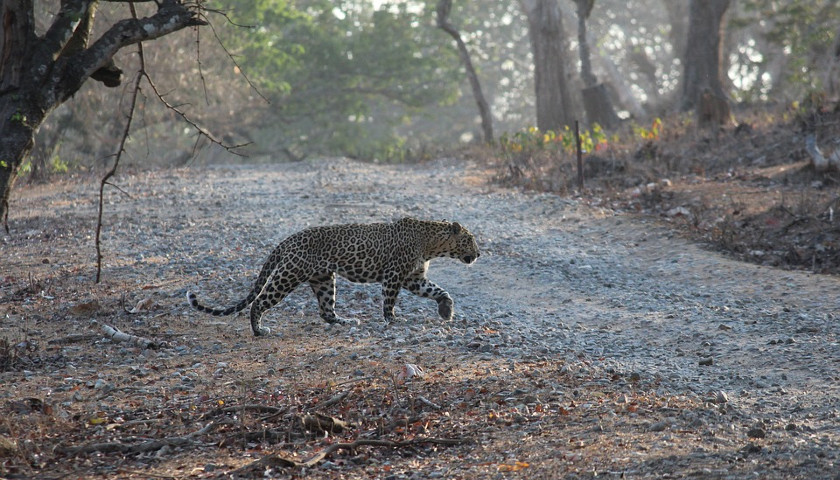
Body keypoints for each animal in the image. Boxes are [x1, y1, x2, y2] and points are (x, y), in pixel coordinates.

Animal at [188, 218, 482, 338]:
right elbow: (389, 301)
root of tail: (288, 240)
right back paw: (259, 330)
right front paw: (392, 320)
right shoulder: (394, 276)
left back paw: (345, 321)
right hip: (288, 275)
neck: (432, 243)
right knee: (259, 301)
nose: (479, 253)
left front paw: (446, 311)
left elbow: (438, 290)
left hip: (323, 279)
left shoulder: (413, 278)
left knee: (326, 311)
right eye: (469, 240)